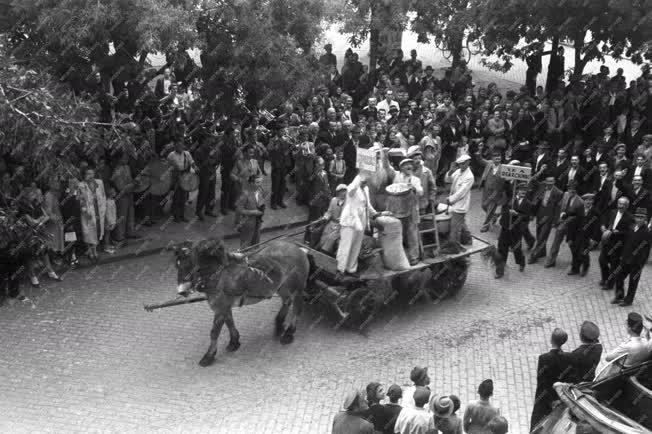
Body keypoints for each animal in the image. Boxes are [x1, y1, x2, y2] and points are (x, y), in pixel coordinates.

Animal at [173, 237, 310, 366]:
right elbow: (229, 322)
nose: (181, 291)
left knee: (297, 307)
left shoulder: (220, 307)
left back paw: (289, 333)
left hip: (297, 289)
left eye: (190, 263)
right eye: (177, 265)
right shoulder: (224, 307)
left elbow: (214, 332)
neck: (220, 275)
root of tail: (299, 249)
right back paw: (279, 324)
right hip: (281, 286)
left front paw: (209, 356)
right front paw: (234, 342)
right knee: (287, 301)